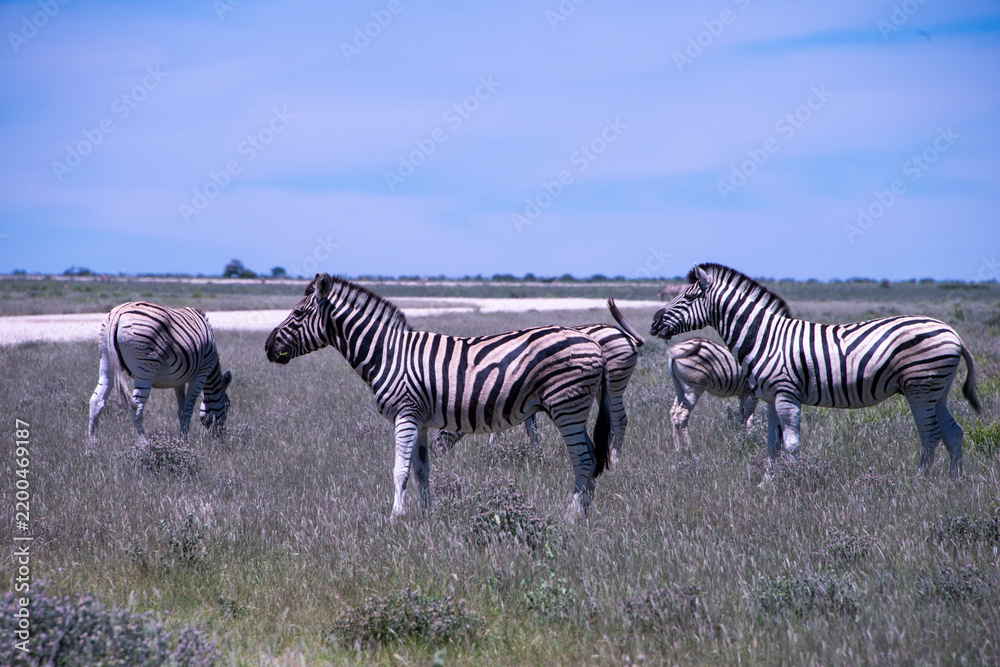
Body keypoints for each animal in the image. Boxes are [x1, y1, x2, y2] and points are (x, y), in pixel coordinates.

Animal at [88, 302, 233, 440]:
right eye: (228, 405)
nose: (219, 436)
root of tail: (117, 313)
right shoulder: (201, 373)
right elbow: (188, 409)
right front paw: (186, 438)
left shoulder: (179, 379)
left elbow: (181, 410)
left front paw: (183, 438)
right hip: (146, 369)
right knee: (136, 406)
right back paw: (144, 443)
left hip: (106, 360)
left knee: (96, 400)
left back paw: (93, 443)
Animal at [264, 273, 612, 518]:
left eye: (298, 314)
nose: (267, 347)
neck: (388, 354)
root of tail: (594, 343)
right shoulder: (420, 420)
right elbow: (421, 471)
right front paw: (425, 516)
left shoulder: (405, 414)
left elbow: (400, 470)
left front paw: (396, 517)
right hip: (572, 409)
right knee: (592, 457)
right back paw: (586, 515)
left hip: (566, 406)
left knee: (583, 460)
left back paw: (572, 516)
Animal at [433, 301, 644, 466]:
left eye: (442, 427)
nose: (437, 456)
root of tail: (626, 335)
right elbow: (531, 429)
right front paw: (535, 452)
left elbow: (508, 430)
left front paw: (492, 451)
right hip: (603, 389)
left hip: (615, 383)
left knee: (620, 419)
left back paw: (615, 460)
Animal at [650, 263, 980, 476]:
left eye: (688, 297)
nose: (653, 323)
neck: (765, 337)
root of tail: (953, 332)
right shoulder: (770, 398)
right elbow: (772, 445)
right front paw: (767, 483)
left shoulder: (786, 395)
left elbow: (791, 444)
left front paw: (793, 483)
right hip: (936, 390)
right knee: (953, 433)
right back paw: (953, 483)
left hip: (920, 387)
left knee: (931, 435)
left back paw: (921, 481)